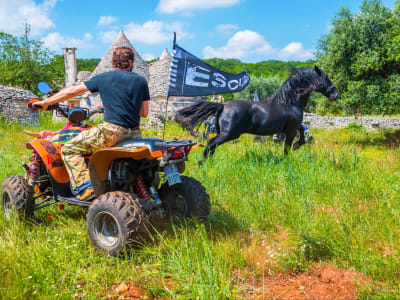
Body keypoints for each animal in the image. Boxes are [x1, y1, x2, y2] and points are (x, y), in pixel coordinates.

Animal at [175, 65, 338, 159]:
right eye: (325, 78)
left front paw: (298, 145)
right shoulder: (291, 129)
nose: (335, 94)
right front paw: (288, 157)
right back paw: (203, 164)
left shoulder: (294, 126)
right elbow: (287, 147)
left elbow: (303, 132)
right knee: (210, 143)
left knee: (211, 146)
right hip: (229, 134)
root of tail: (223, 106)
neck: (290, 102)